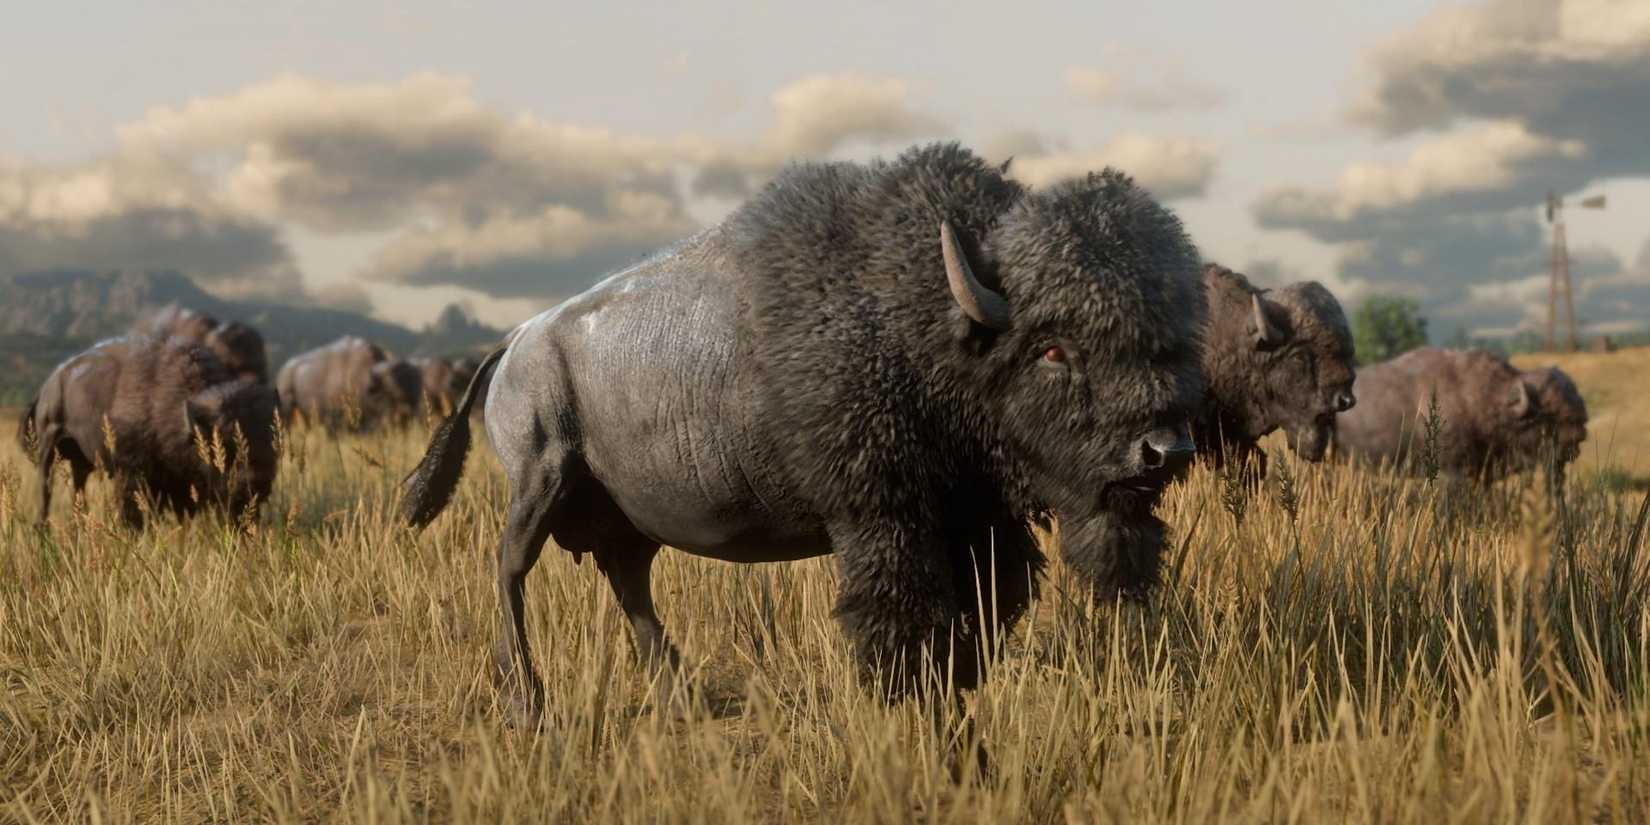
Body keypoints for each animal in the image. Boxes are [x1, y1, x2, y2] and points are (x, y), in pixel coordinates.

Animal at [19, 334, 279, 527]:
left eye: (273, 443)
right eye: (223, 446)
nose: (257, 481)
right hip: (48, 448)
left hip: (81, 462)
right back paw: (42, 528)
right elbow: (132, 513)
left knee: (78, 488)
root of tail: (48, 385)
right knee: (46, 489)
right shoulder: (130, 474)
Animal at [401, 143, 1206, 769]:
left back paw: (679, 695)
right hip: (539, 481)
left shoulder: (978, 526)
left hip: (626, 516)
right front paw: (922, 721)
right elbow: (902, 624)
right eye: (1053, 348)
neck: (924, 316)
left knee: (628, 582)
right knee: (510, 569)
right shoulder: (882, 520)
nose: (1162, 449)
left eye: (1172, 337)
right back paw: (527, 703)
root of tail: (518, 340)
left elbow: (975, 620)